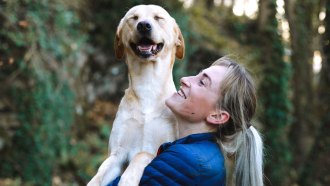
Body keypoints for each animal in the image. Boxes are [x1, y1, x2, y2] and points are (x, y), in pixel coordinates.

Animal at [87, 4, 184, 186]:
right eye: (133, 18)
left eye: (158, 17)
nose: (144, 25)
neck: (148, 87)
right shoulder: (117, 154)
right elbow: (99, 175)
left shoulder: (163, 148)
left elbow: (142, 154)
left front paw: (128, 179)